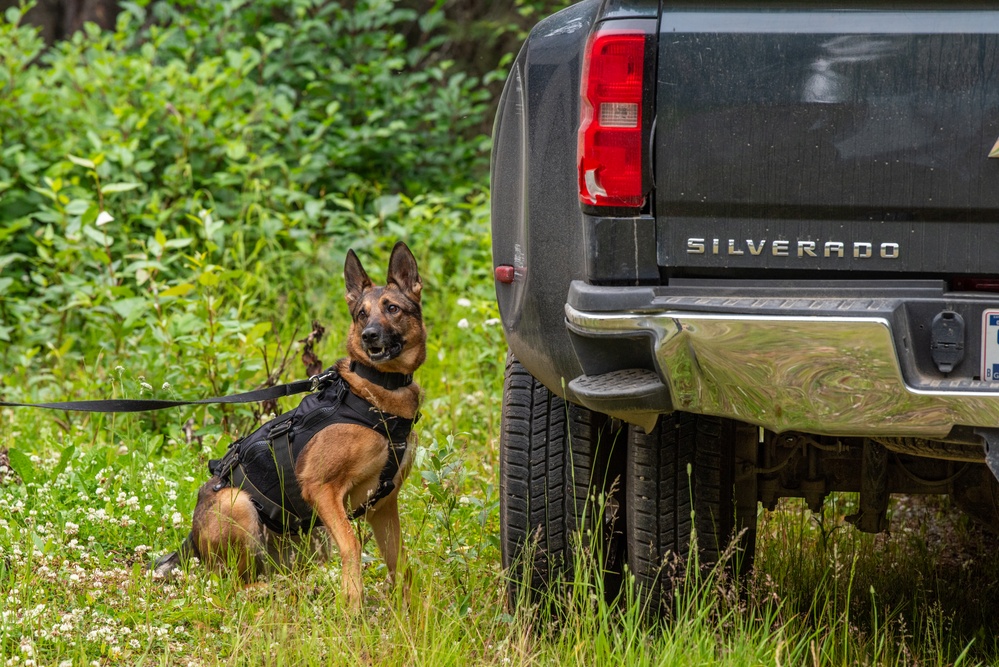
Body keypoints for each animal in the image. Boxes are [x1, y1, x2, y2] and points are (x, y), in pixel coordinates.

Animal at [152, 243, 426, 608]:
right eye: (361, 314)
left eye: (392, 308)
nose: (369, 336)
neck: (377, 391)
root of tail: (191, 541)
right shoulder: (321, 488)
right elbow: (352, 544)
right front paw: (353, 603)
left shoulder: (382, 505)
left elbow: (400, 563)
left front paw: (412, 610)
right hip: (237, 505)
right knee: (235, 586)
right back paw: (273, 591)